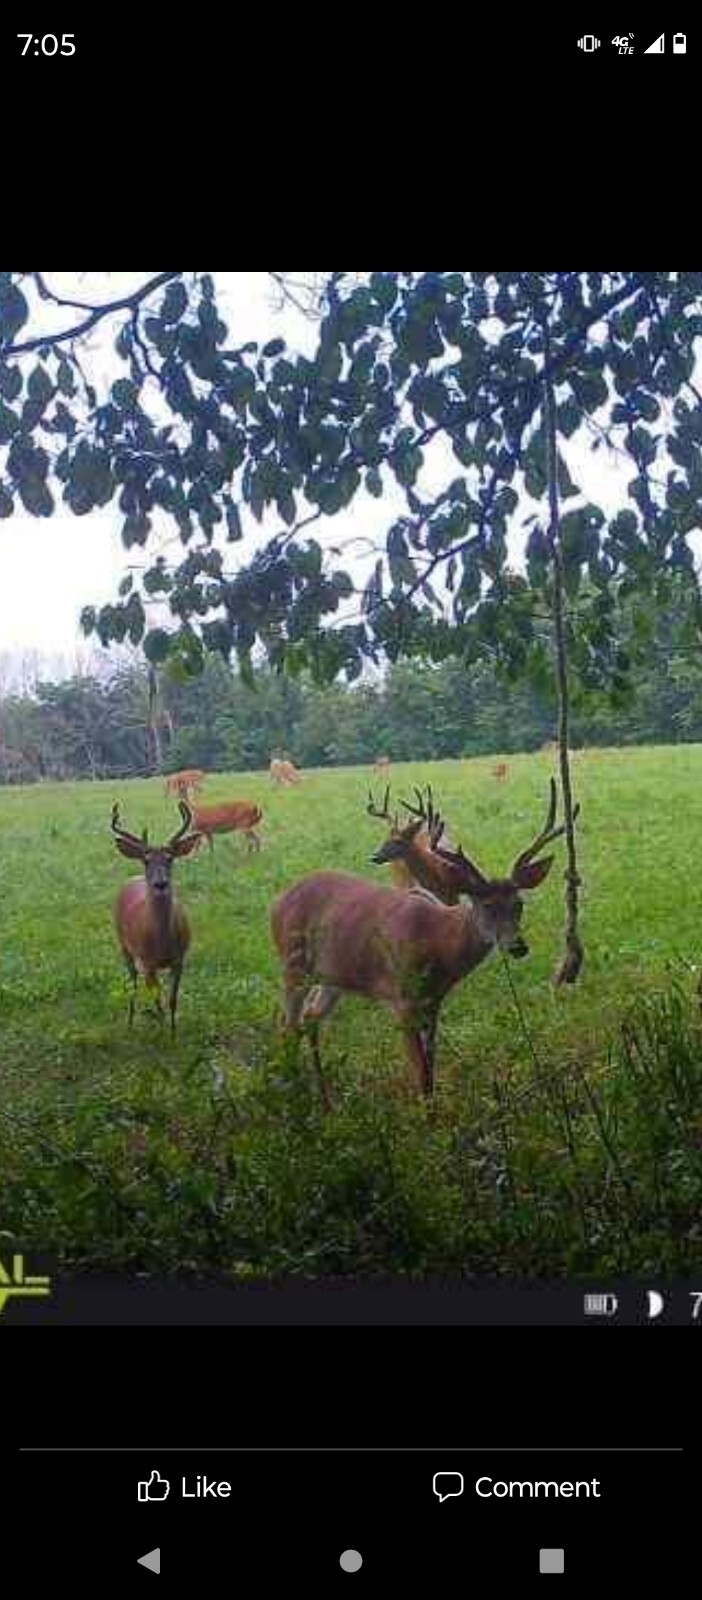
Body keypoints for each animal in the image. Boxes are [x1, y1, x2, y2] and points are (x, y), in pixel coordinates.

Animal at [111, 800, 201, 1034]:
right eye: (145, 860)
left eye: (170, 858)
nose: (160, 884)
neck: (162, 942)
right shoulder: (148, 962)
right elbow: (157, 998)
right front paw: (162, 1029)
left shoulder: (179, 960)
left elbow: (172, 1000)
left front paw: (173, 1033)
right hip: (123, 945)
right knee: (133, 983)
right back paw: (130, 1021)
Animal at [272, 780, 574, 1101]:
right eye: (486, 905)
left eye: (519, 904)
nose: (518, 946)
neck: (437, 941)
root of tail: (277, 902)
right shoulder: (401, 1000)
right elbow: (419, 1074)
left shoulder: (434, 1002)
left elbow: (430, 1072)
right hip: (292, 963)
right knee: (286, 1026)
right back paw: (292, 1087)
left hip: (334, 976)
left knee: (309, 1018)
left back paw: (325, 1098)